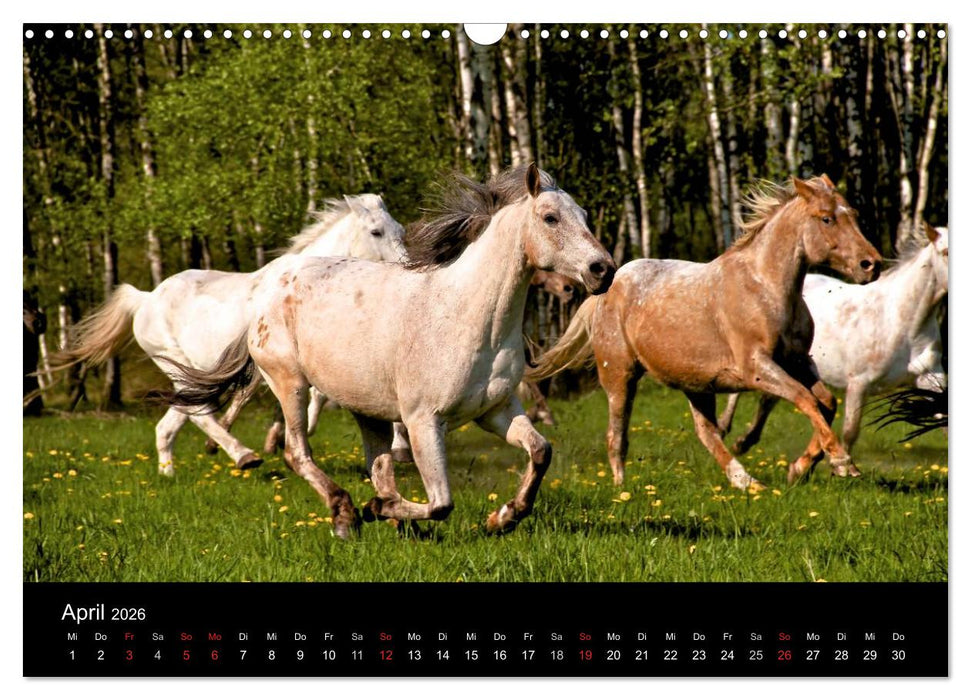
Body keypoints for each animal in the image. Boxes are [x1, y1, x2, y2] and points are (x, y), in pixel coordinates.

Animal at [50, 195, 406, 476]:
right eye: (376, 231)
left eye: (400, 230)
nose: (407, 265)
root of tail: (146, 298)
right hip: (174, 364)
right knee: (197, 414)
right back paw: (244, 456)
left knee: (172, 423)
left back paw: (169, 473)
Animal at [164, 164, 615, 539]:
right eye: (550, 217)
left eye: (584, 216)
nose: (602, 270)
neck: (469, 317)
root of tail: (269, 285)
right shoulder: (423, 420)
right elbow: (441, 503)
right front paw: (376, 509)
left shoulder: (496, 411)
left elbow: (540, 451)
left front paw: (502, 518)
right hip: (290, 383)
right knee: (297, 452)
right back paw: (346, 513)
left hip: (368, 410)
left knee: (377, 466)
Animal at [527, 176, 882, 489]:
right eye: (826, 218)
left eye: (853, 214)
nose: (871, 264)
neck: (764, 287)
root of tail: (605, 290)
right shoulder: (757, 368)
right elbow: (805, 399)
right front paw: (842, 463)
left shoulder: (798, 361)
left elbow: (826, 402)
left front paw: (800, 468)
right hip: (619, 376)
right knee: (618, 435)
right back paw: (622, 489)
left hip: (696, 384)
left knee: (706, 432)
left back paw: (746, 482)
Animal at [718, 222, 947, 456]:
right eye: (945, 252)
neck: (903, 322)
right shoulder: (858, 383)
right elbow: (849, 432)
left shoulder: (929, 379)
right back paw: (724, 427)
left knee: (768, 399)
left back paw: (745, 441)